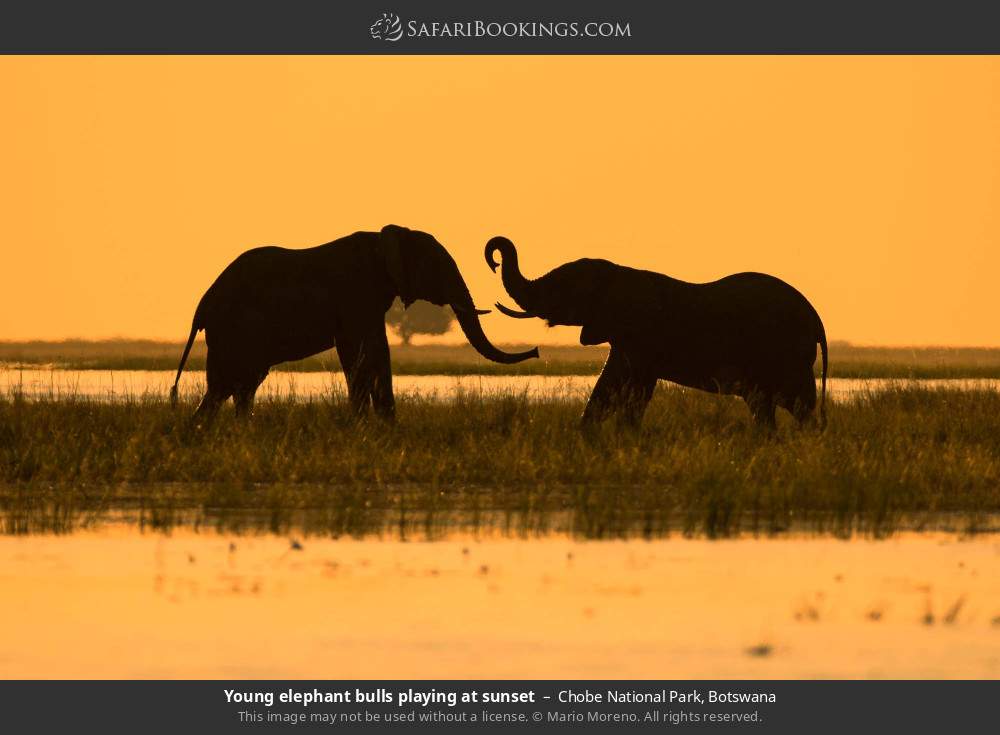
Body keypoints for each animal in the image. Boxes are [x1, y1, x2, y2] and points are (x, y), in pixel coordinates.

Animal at [170, 224, 540, 422]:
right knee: (233, 383)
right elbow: (358, 352)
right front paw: (363, 426)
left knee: (233, 385)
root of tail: (201, 307)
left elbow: (378, 351)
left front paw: (386, 427)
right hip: (235, 329)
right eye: (436, 267)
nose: (536, 351)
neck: (385, 238)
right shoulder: (355, 295)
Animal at [486, 236, 828, 432]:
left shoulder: (641, 336)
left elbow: (635, 390)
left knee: (797, 405)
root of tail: (816, 318)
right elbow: (607, 386)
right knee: (767, 406)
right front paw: (587, 436)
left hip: (785, 354)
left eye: (560, 288)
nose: (495, 259)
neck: (616, 273)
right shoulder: (623, 338)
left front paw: (626, 437)